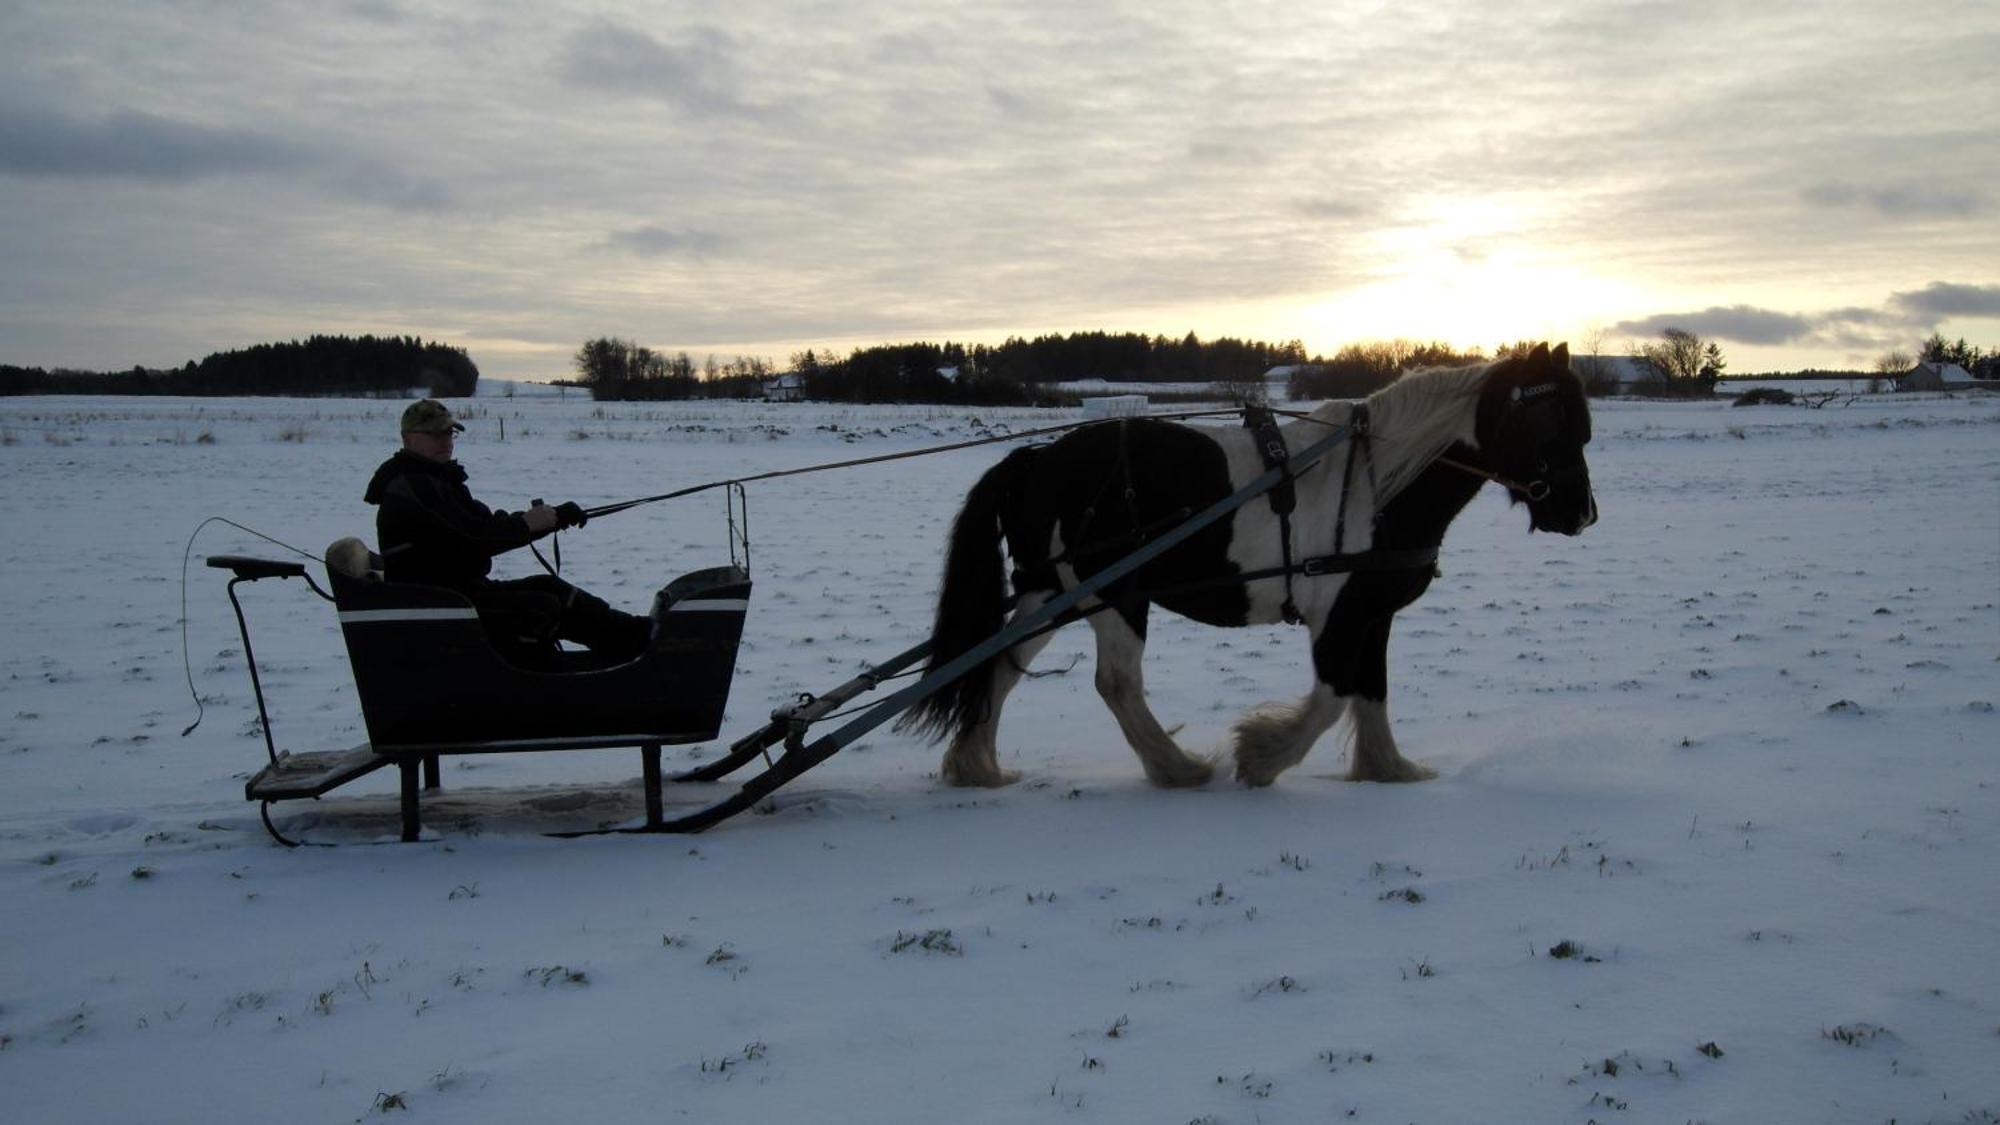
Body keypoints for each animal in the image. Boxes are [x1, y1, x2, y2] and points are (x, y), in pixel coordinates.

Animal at [900, 342, 1600, 788]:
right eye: (1550, 421)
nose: (1582, 513)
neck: (1376, 483)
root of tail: (1038, 461)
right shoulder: (1337, 612)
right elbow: (1333, 696)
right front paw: (1263, 756)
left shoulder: (1370, 612)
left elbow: (1371, 690)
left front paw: (1389, 769)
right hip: (1116, 596)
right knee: (1116, 684)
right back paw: (1177, 768)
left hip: (1051, 595)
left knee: (997, 667)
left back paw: (978, 767)